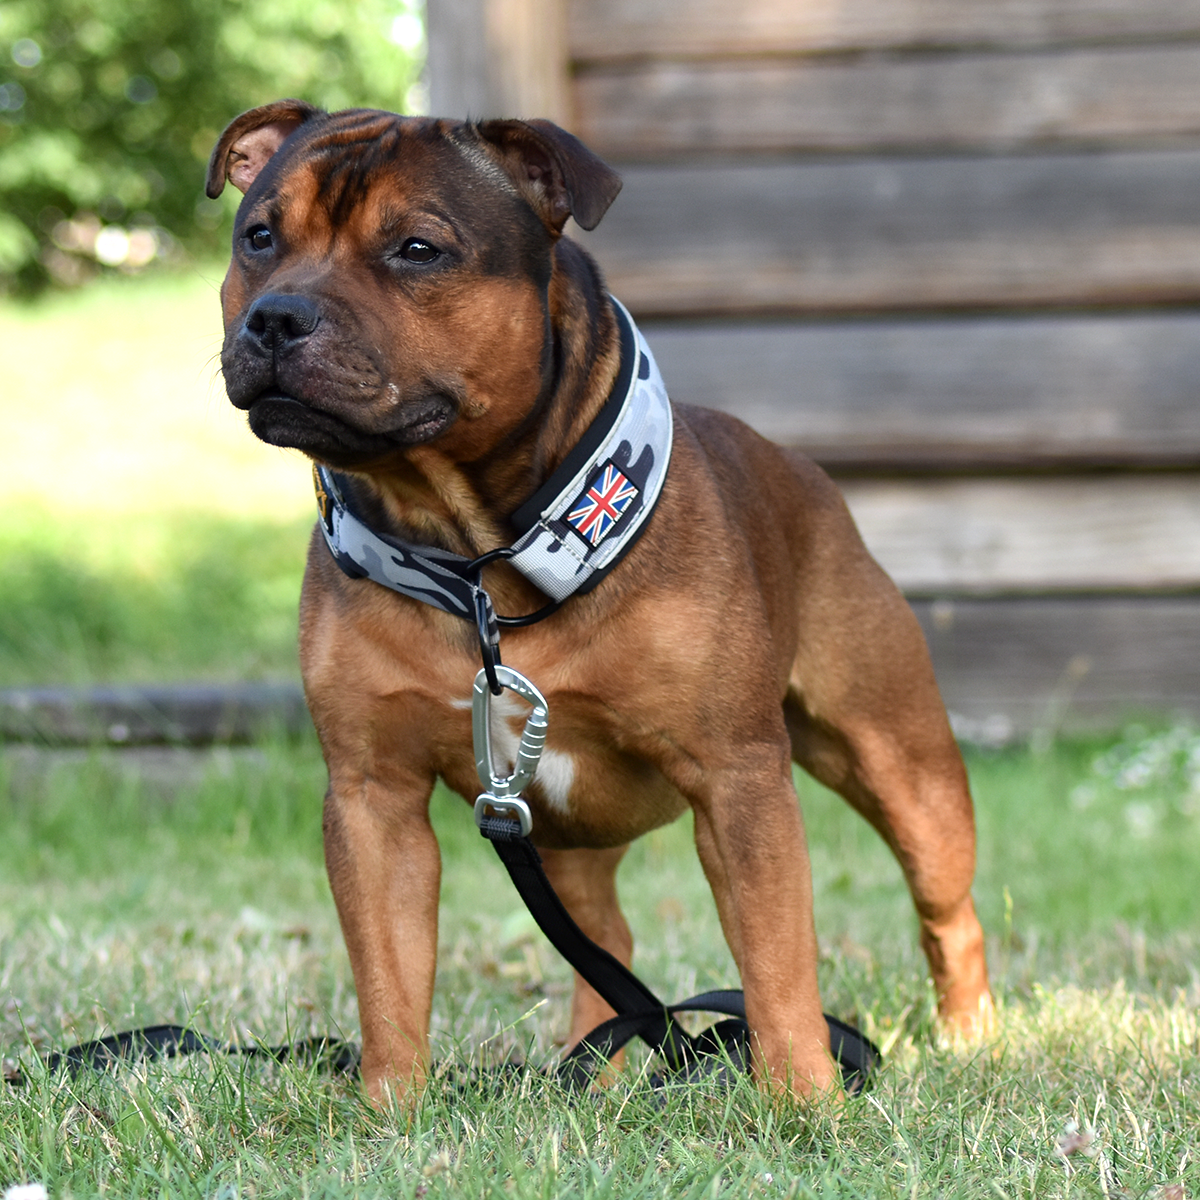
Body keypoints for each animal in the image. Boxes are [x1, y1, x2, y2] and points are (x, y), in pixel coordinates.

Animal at [208, 103, 993, 1104]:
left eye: (418, 249)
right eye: (260, 238)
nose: (275, 315)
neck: (479, 561)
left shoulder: (737, 782)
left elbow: (777, 959)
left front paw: (803, 1102)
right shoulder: (373, 799)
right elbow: (387, 975)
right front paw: (390, 1107)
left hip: (903, 767)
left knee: (947, 907)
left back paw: (973, 1036)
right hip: (558, 828)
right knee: (606, 944)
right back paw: (598, 1067)